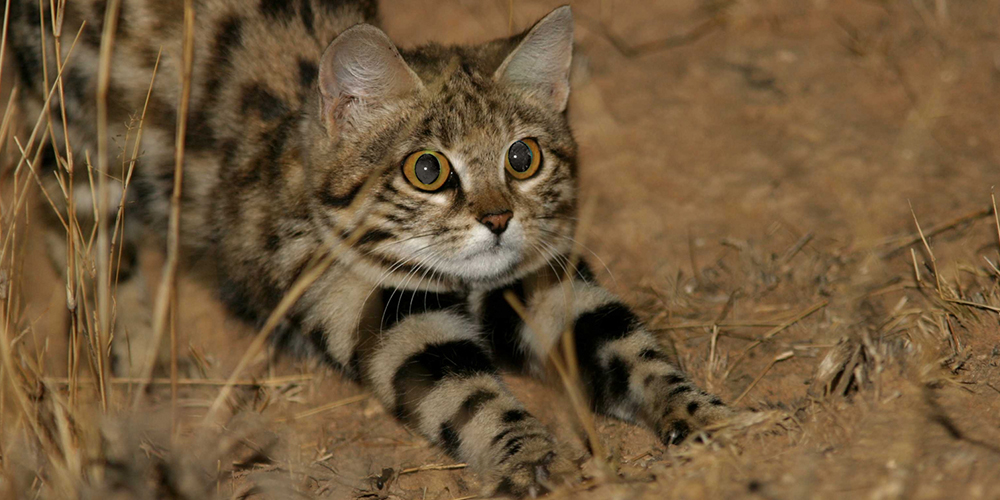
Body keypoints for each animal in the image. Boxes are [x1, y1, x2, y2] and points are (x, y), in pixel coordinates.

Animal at [11, 1, 736, 496]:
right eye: (428, 170)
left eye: (523, 158)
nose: (499, 219)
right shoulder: (363, 296)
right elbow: (470, 395)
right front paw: (530, 455)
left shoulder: (538, 275)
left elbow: (633, 350)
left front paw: (705, 415)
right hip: (77, 132)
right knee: (74, 227)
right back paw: (131, 345)